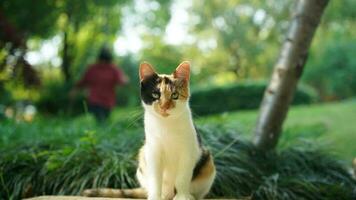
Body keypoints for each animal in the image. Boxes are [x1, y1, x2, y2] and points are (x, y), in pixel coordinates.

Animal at [82, 61, 217, 199]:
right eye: (155, 94)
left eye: (175, 95)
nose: (164, 107)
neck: (166, 125)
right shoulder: (153, 152)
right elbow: (155, 178)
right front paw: (155, 196)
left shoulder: (188, 151)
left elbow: (182, 177)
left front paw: (182, 196)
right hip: (143, 154)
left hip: (208, 163)